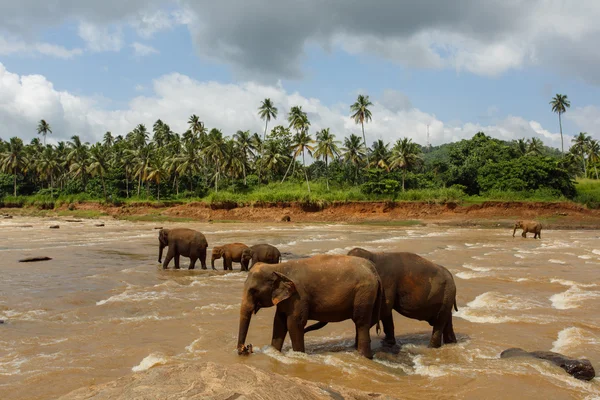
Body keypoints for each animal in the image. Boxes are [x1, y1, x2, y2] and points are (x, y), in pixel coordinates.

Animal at [237, 255, 382, 360]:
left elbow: (294, 323)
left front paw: (299, 355)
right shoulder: (287, 299)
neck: (279, 267)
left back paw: (364, 357)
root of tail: (374, 270)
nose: (246, 348)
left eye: (253, 291)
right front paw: (275, 352)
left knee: (361, 322)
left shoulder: (299, 296)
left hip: (364, 293)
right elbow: (279, 322)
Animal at [308, 248, 458, 348]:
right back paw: (451, 342)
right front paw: (388, 343)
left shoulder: (387, 281)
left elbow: (384, 309)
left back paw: (433, 347)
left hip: (447, 294)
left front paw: (356, 344)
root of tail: (452, 277)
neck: (373, 255)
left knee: (439, 322)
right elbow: (386, 313)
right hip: (447, 297)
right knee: (446, 319)